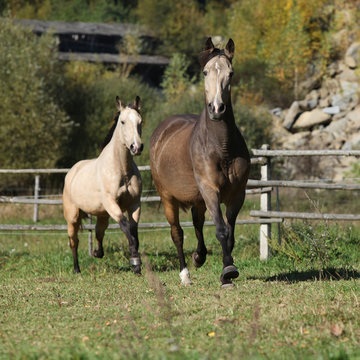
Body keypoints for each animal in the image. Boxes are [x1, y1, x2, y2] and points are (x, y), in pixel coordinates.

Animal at [63, 95, 143, 272]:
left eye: (140, 121)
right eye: (122, 122)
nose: (136, 147)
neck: (122, 170)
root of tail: (72, 172)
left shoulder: (134, 204)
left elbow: (133, 230)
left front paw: (136, 264)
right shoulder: (112, 203)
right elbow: (125, 226)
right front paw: (135, 261)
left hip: (102, 215)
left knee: (99, 232)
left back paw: (97, 253)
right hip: (72, 216)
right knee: (73, 241)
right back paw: (77, 269)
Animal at [149, 38, 250, 286]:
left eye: (231, 73)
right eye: (205, 72)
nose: (217, 108)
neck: (222, 147)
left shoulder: (237, 194)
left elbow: (230, 233)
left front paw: (227, 268)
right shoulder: (210, 189)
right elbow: (222, 230)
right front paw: (228, 272)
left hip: (197, 199)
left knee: (197, 224)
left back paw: (199, 257)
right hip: (168, 197)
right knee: (177, 233)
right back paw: (185, 274)